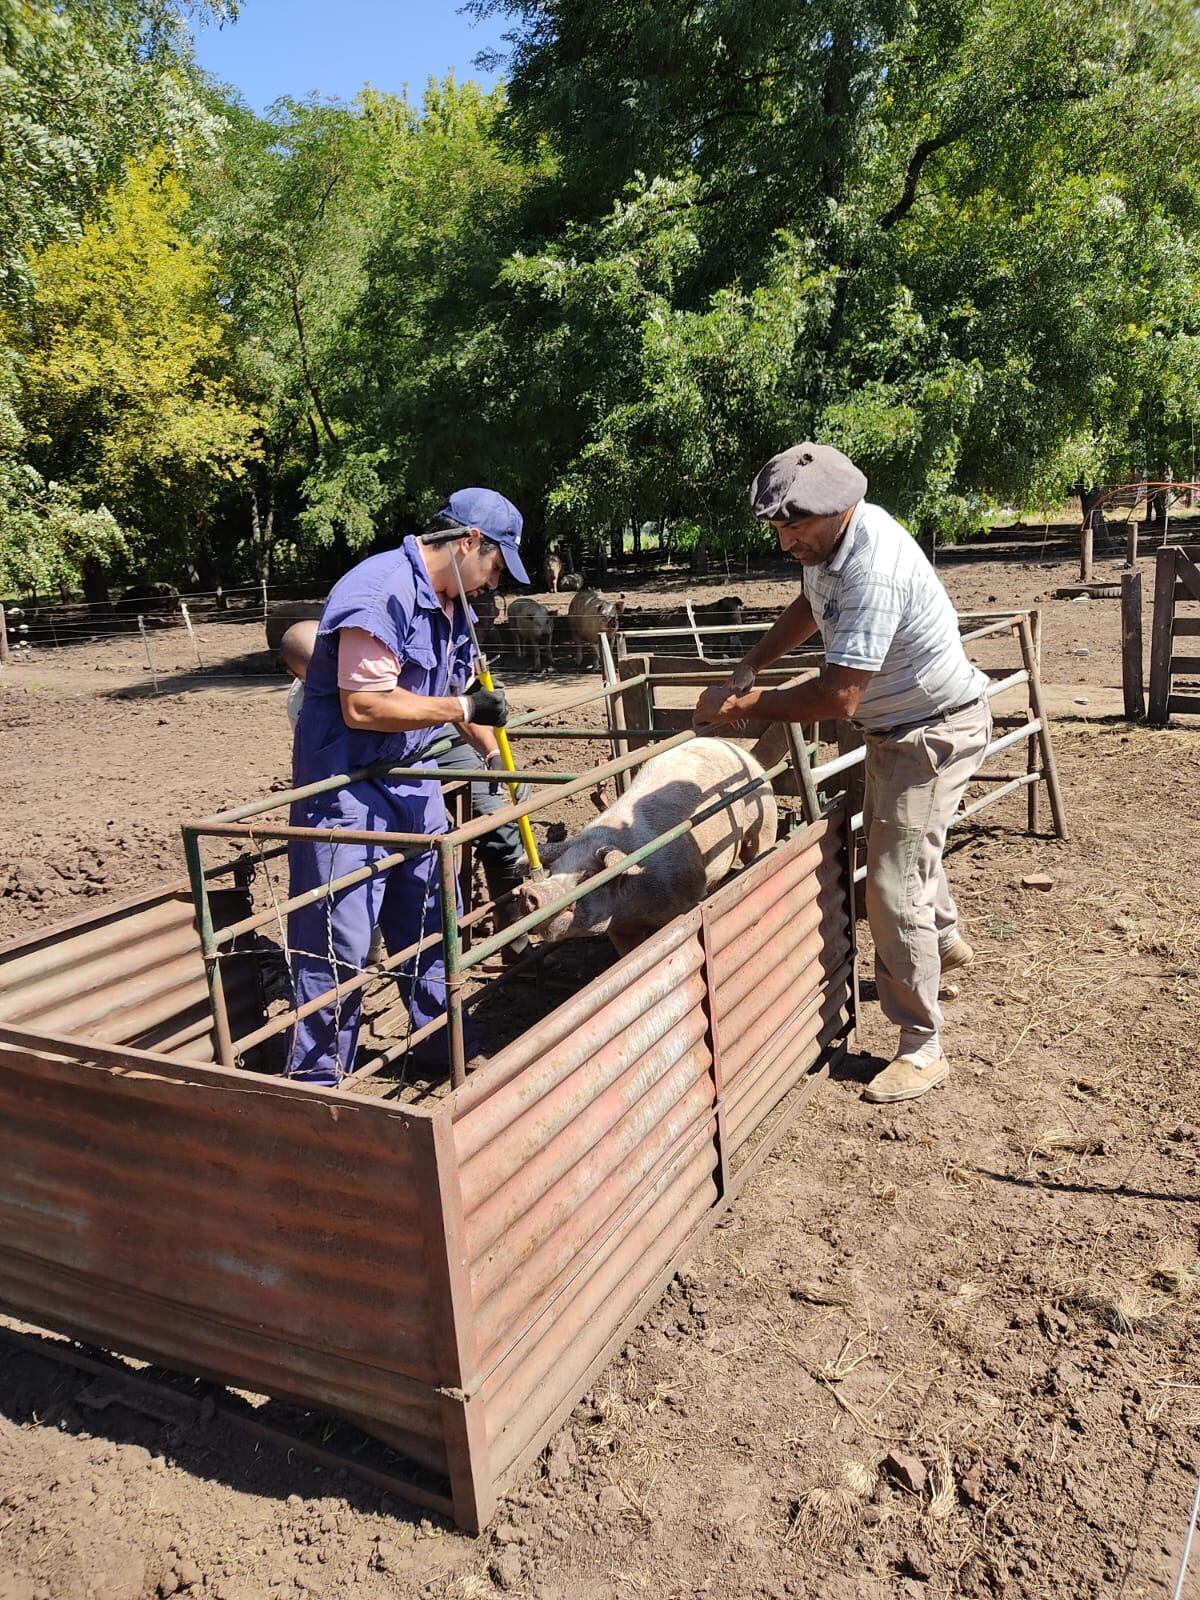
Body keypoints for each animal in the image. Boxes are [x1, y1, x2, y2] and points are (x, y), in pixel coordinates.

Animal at [518, 742, 780, 953]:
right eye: (553, 870)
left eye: (588, 876)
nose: (531, 892)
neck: (634, 906)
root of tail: (733, 746)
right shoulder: (619, 928)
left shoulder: (688, 897)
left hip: (763, 823)